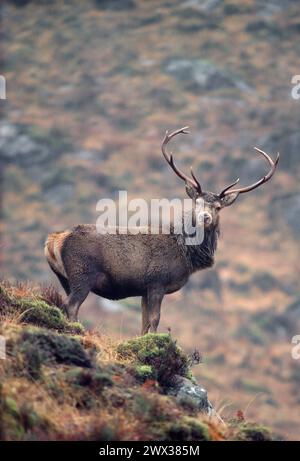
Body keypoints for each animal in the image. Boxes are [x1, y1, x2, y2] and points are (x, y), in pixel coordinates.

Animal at [44, 127, 278, 332]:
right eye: (196, 202)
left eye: (218, 206)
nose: (205, 216)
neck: (186, 255)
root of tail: (53, 241)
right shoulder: (157, 281)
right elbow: (155, 319)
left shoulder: (144, 289)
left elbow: (143, 323)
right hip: (82, 273)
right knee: (71, 305)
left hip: (65, 278)